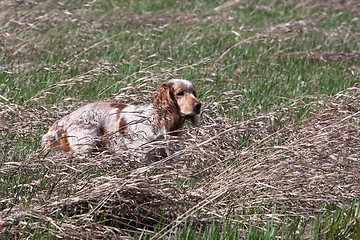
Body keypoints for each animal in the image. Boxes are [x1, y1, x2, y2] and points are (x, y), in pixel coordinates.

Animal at [41, 79, 202, 158]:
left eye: (193, 92)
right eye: (180, 93)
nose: (199, 105)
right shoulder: (140, 153)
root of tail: (67, 118)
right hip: (86, 146)